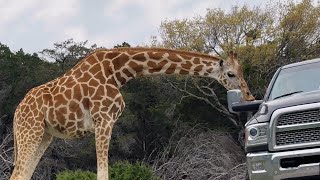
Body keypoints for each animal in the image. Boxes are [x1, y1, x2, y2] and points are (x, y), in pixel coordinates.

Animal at [10, 47, 255, 180]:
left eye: (242, 71)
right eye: (231, 74)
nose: (249, 96)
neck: (119, 71)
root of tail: (17, 112)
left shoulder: (106, 122)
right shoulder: (103, 119)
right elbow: (103, 173)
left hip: (44, 135)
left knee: (23, 173)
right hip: (30, 132)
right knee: (19, 173)